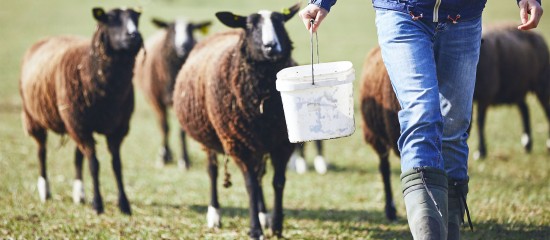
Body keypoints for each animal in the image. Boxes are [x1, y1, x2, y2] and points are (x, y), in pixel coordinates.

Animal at [19, 7, 143, 215]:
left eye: (136, 19)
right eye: (110, 19)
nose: (135, 36)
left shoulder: (117, 128)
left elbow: (116, 165)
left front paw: (124, 205)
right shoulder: (81, 125)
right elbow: (94, 165)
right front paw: (98, 205)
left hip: (75, 123)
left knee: (78, 157)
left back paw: (80, 194)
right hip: (35, 118)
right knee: (41, 152)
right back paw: (45, 191)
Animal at [134, 16, 211, 169]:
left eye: (191, 29)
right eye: (172, 29)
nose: (183, 45)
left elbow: (182, 132)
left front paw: (184, 160)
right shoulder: (157, 101)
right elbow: (165, 128)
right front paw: (163, 157)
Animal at [174, 3, 300, 238]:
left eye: (281, 22)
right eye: (250, 25)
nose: (271, 47)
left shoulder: (281, 142)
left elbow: (278, 182)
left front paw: (276, 226)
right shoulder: (240, 144)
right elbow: (250, 185)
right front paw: (255, 230)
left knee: (260, 175)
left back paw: (263, 213)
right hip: (211, 137)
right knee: (213, 171)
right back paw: (214, 215)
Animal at [474, 23, 550, 159]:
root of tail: (538, 35)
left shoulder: (485, 95)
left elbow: (479, 123)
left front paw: (481, 152)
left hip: (542, 83)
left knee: (546, 110)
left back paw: (547, 144)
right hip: (517, 87)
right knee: (525, 110)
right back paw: (527, 144)